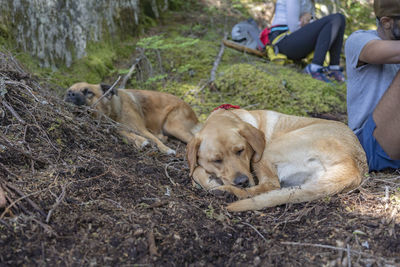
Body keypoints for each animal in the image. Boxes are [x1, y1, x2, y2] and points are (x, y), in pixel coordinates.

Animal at [67, 82, 203, 156]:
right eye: (69, 91)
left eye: (88, 92)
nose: (70, 94)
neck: (116, 110)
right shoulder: (116, 127)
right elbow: (124, 132)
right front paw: (140, 141)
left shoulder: (141, 128)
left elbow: (155, 141)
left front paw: (166, 149)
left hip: (173, 126)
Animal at [186, 108, 368, 213]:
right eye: (216, 160)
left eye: (240, 150)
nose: (242, 181)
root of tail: (353, 166)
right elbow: (196, 170)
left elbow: (196, 171)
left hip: (267, 152)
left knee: (269, 186)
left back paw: (228, 191)